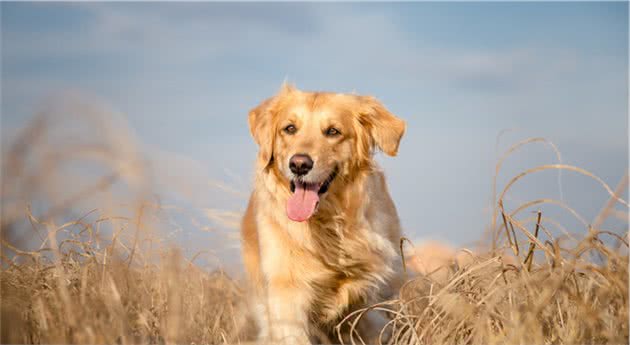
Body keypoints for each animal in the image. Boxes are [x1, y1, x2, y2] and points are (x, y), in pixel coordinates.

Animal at [239, 83, 408, 344]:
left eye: (333, 131)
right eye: (289, 128)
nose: (299, 164)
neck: (328, 224)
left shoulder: (372, 300)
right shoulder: (286, 293)